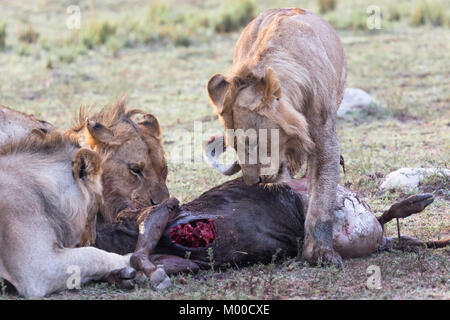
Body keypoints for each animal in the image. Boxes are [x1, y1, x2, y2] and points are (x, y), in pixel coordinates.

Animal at [206, 8, 346, 266]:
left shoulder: (325, 139)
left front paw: (321, 253)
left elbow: (322, 199)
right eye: (235, 147)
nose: (253, 183)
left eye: (252, 142)